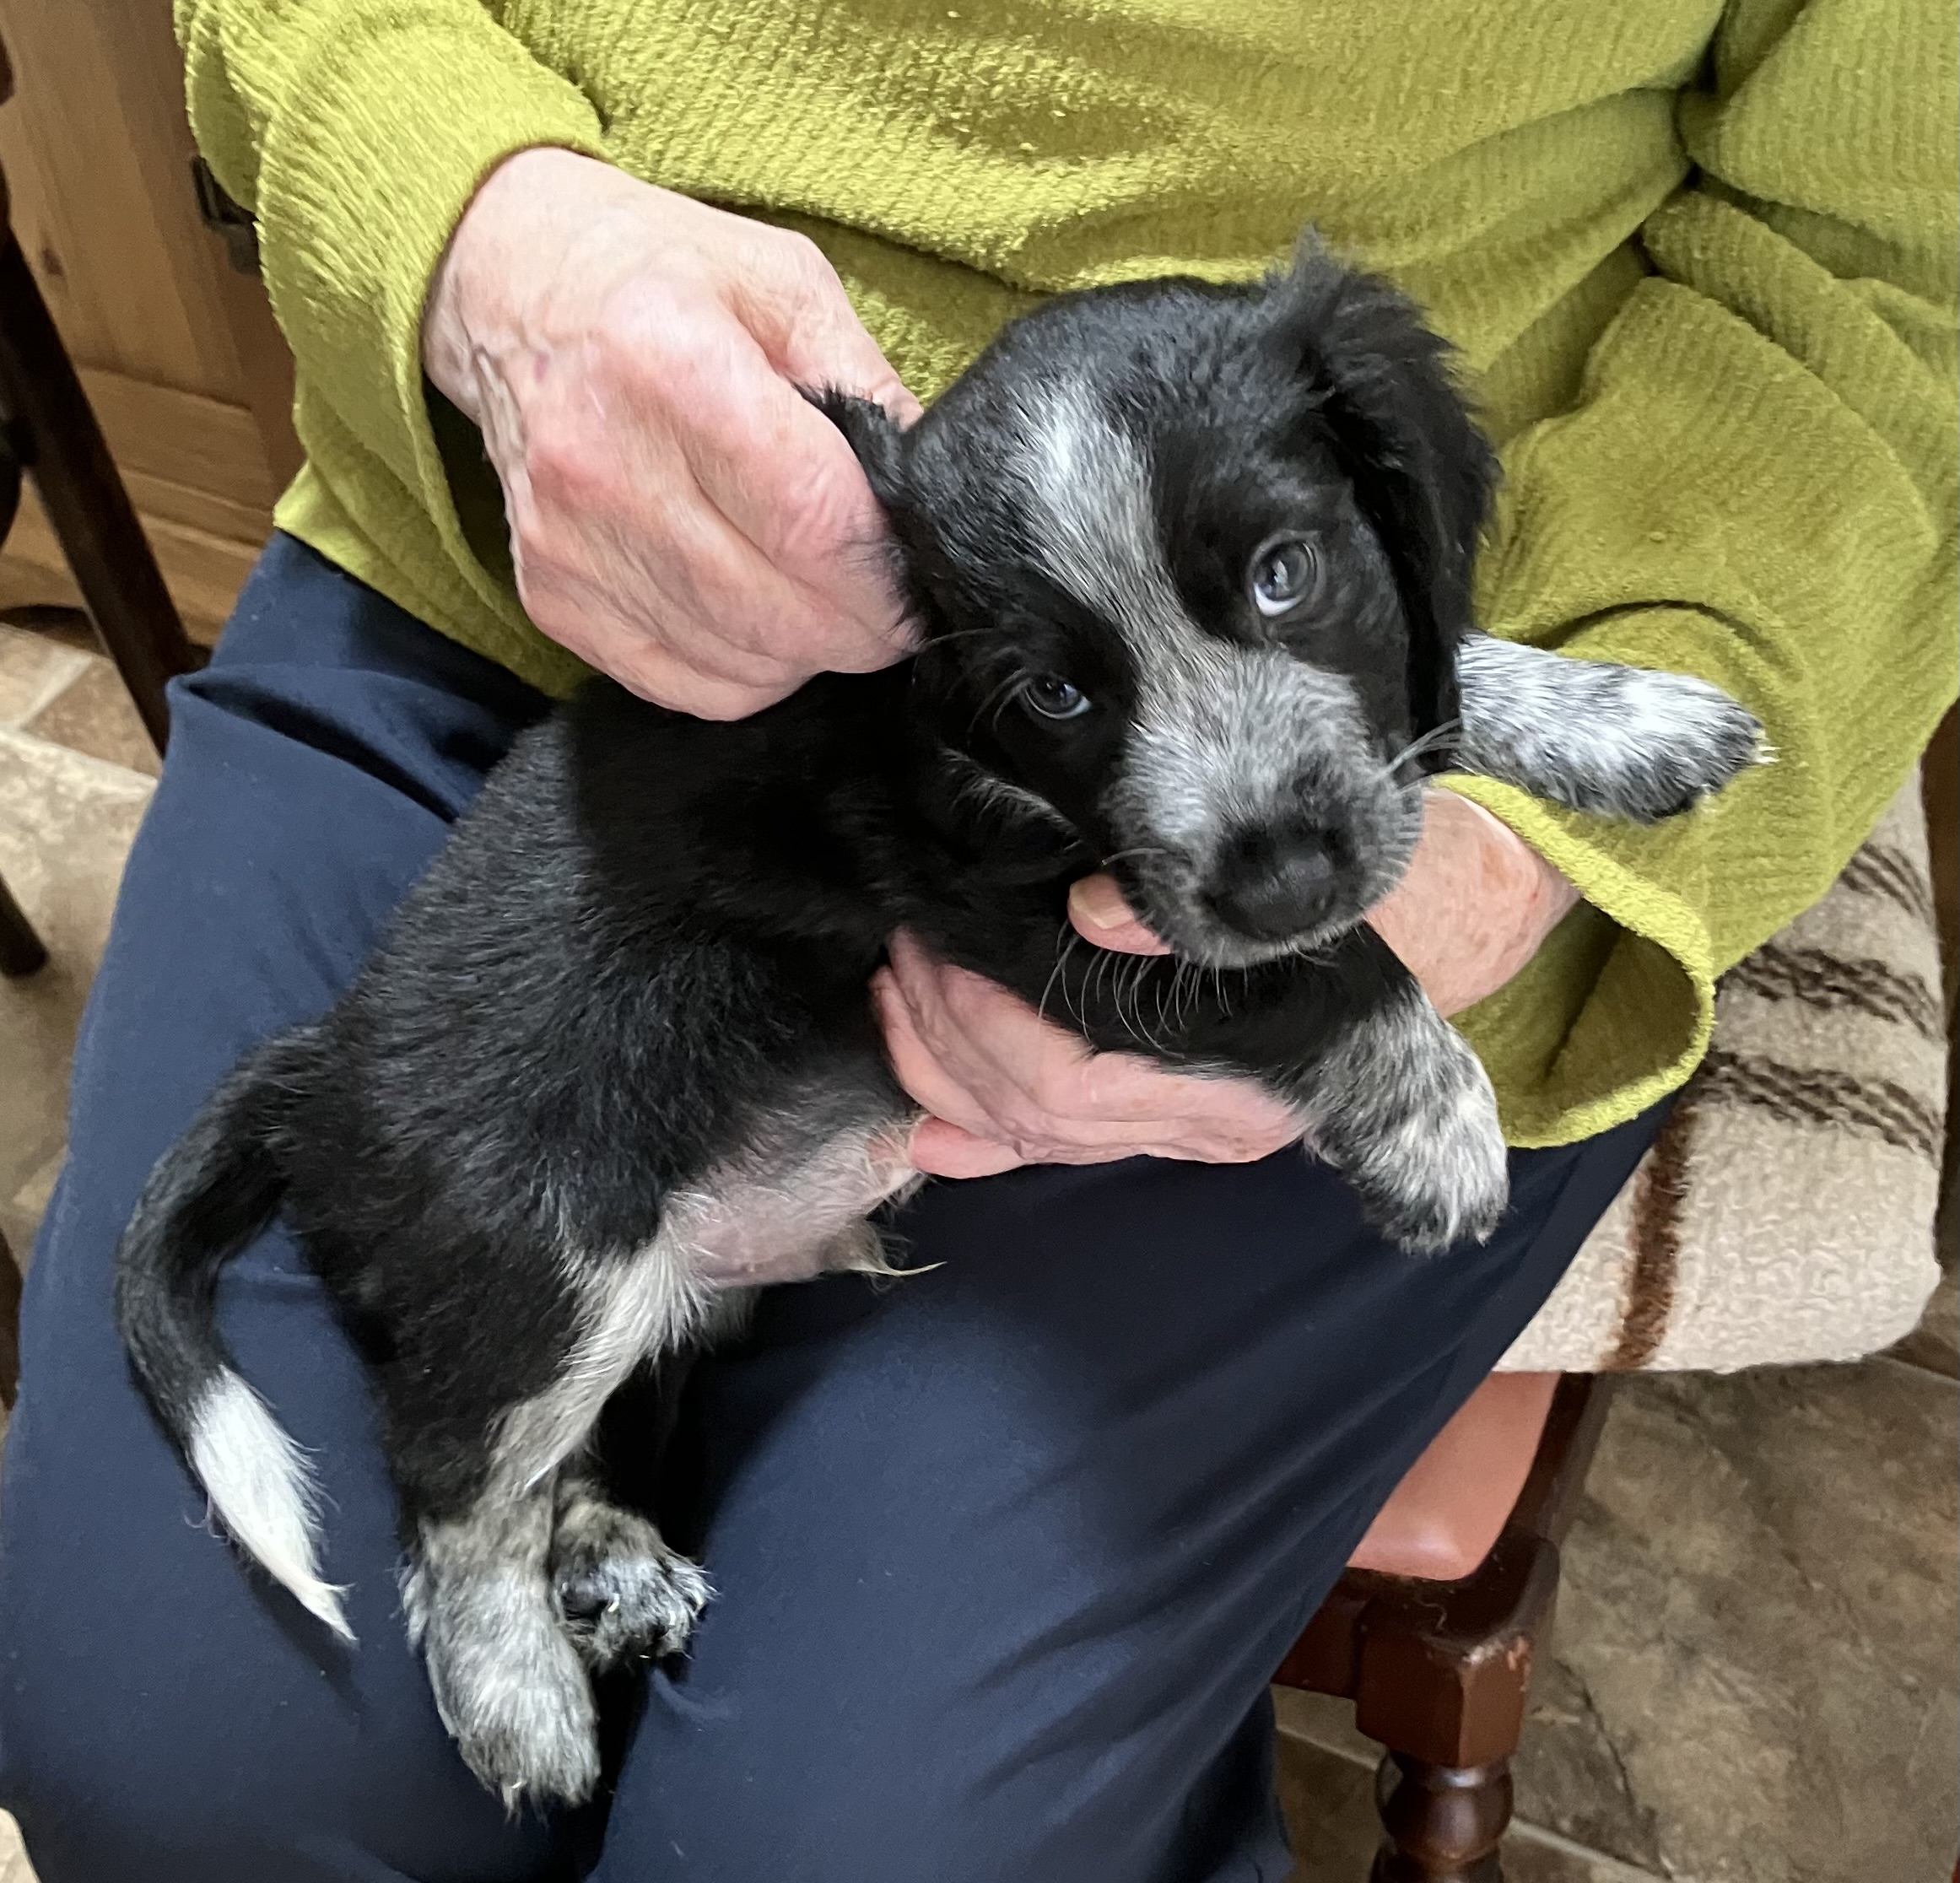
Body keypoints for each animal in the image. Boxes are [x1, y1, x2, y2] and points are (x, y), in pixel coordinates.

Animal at [111, 239, 1763, 1810]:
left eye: (1285, 573)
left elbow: (1438, 671)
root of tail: (314, 1064)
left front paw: (1618, 716)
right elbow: (1315, 975)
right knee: (449, 1484)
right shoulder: (1027, 915)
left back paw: (605, 1559)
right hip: (548, 1256)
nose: (1281, 871)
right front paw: (1431, 1117)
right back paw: (515, 1689)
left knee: (565, 1451)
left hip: (649, 1292)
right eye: (1054, 694)